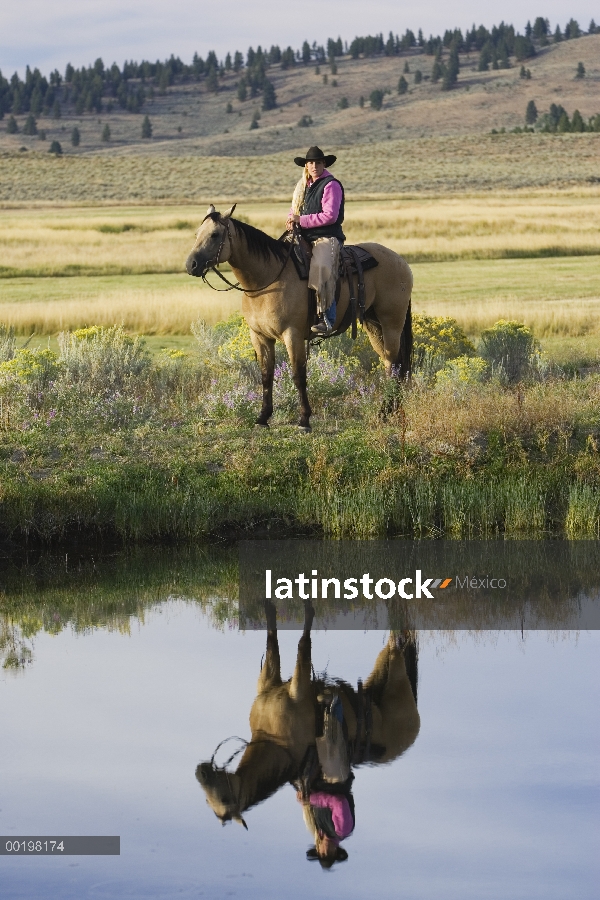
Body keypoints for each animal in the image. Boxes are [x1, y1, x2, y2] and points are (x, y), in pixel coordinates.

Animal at [186, 206, 412, 430]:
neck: (267, 279)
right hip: (373, 325)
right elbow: (266, 375)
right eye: (197, 234)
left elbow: (298, 375)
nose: (191, 265)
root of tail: (400, 261)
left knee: (395, 364)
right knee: (389, 363)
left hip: (391, 323)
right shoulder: (259, 336)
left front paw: (304, 419)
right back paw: (389, 411)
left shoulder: (292, 335)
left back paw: (386, 410)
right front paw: (263, 417)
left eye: (215, 235)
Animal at [195, 600, 420, 832]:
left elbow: (303, 643)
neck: (274, 739)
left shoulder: (300, 685)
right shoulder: (271, 677)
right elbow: (272, 639)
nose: (200, 772)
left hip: (395, 667)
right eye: (208, 801)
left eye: (224, 799)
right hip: (381, 669)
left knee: (398, 638)